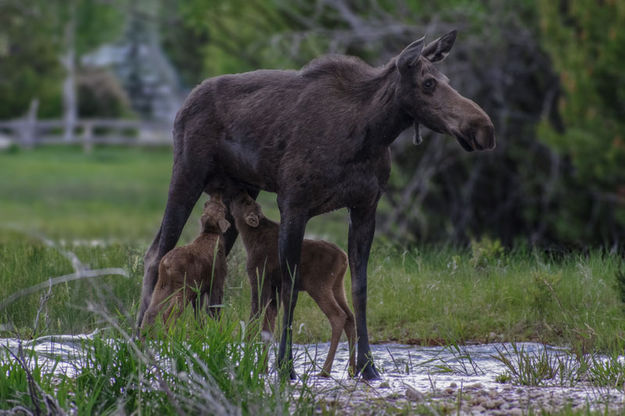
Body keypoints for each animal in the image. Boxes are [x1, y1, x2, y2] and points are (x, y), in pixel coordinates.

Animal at [140, 197, 230, 334]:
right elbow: (214, 310)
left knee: (150, 311)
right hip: (184, 288)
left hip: (163, 285)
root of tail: (166, 264)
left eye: (207, 204)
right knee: (168, 314)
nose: (217, 197)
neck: (211, 233)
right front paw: (218, 331)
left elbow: (199, 313)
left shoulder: (200, 290)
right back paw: (172, 336)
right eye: (223, 209)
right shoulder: (217, 283)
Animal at [230, 193, 356, 376]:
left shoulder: (258, 278)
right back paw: (353, 369)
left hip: (318, 285)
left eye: (245, 202)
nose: (238, 194)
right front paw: (263, 368)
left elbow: (254, 320)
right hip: (338, 286)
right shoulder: (275, 286)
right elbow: (267, 327)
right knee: (350, 316)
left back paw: (325, 370)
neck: (249, 238)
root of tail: (344, 258)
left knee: (338, 315)